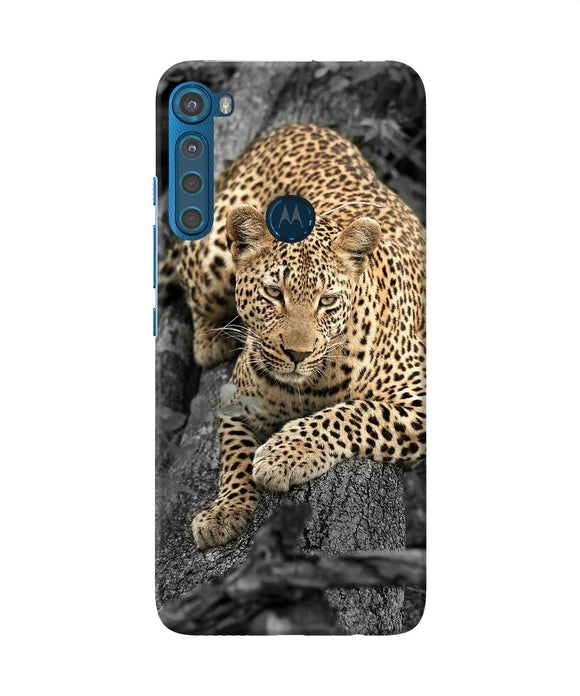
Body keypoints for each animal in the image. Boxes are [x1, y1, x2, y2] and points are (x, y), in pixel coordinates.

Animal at [173, 123, 426, 550]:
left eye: (327, 300)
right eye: (275, 293)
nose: (296, 353)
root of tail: (295, 126)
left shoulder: (419, 396)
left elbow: (353, 413)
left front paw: (283, 455)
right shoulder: (235, 400)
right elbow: (234, 455)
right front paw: (225, 511)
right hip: (213, 252)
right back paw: (212, 340)